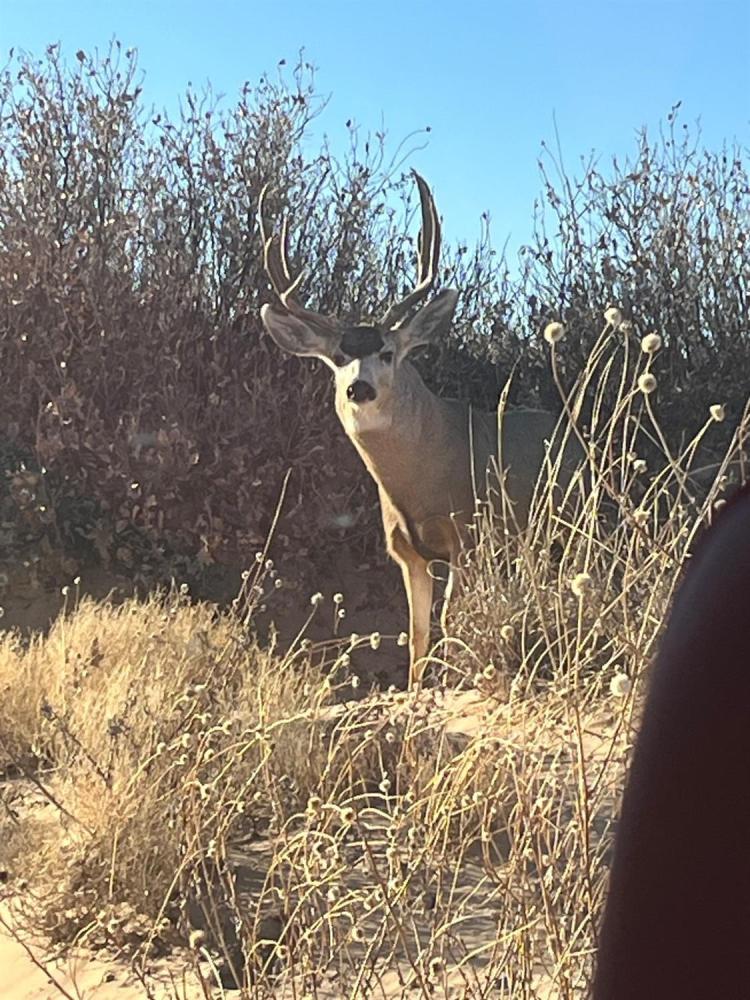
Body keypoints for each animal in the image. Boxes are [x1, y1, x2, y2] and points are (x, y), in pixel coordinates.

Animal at [258, 172, 580, 688]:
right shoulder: (407, 552)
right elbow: (417, 636)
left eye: (388, 352)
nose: (359, 388)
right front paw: (416, 692)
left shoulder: (468, 534)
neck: (421, 479)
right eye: (338, 358)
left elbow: (450, 622)